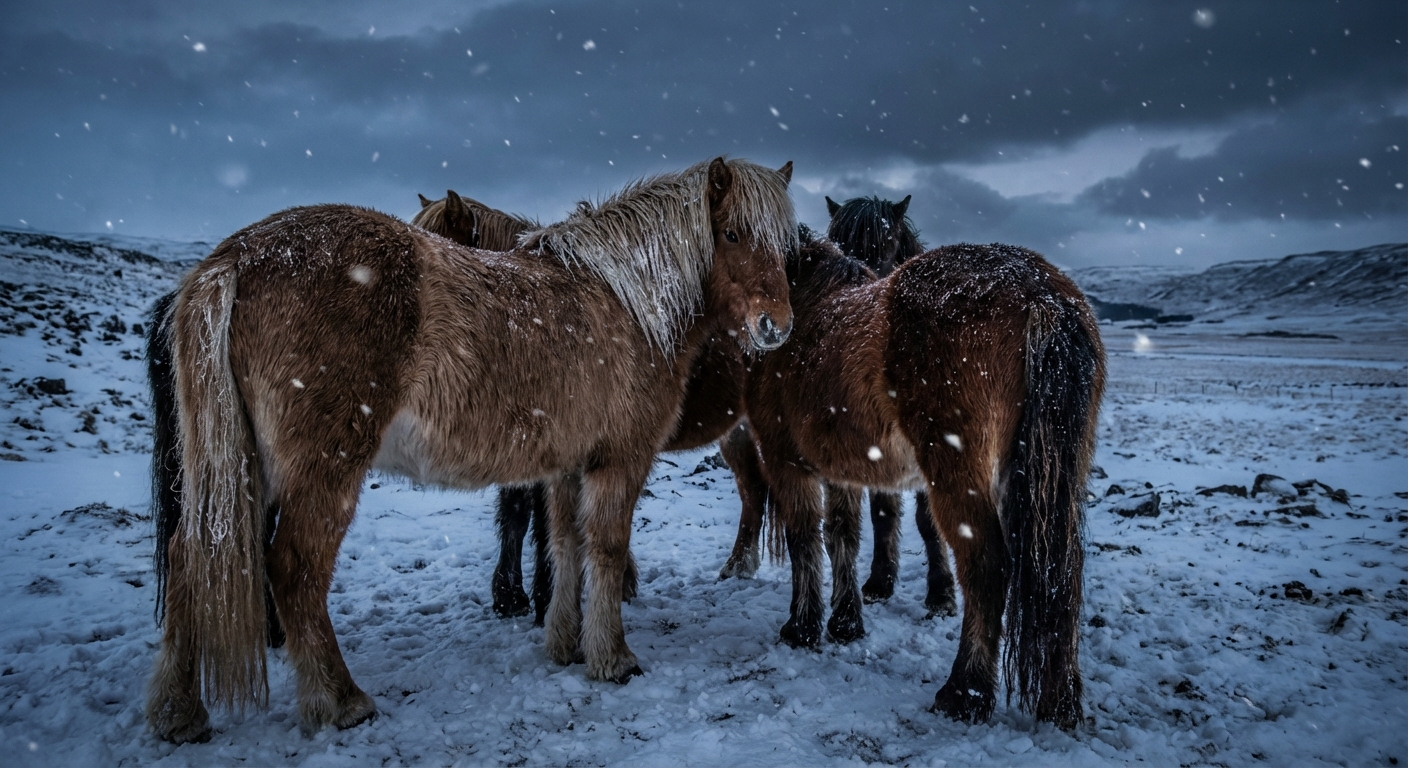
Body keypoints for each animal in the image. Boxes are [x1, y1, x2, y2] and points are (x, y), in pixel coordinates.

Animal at [143, 157, 797, 743]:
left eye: (785, 245)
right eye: (732, 234)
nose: (776, 326)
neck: (627, 299)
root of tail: (234, 258)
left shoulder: (566, 467)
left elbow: (564, 546)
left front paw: (563, 643)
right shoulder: (619, 460)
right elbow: (607, 551)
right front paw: (613, 658)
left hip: (243, 468)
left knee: (190, 556)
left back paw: (179, 713)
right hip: (319, 471)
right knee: (295, 568)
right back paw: (341, 701)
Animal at [717, 195, 958, 618]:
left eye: (889, 246)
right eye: (839, 242)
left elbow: (925, 518)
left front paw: (941, 592)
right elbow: (882, 512)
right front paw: (879, 582)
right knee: (752, 489)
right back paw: (738, 564)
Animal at [744, 226, 1105, 730]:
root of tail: (1042, 296)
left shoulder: (785, 462)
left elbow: (804, 541)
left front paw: (801, 627)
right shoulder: (841, 470)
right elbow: (842, 537)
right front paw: (846, 622)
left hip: (957, 474)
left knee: (986, 566)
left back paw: (965, 693)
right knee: (1059, 571)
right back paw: (1061, 702)